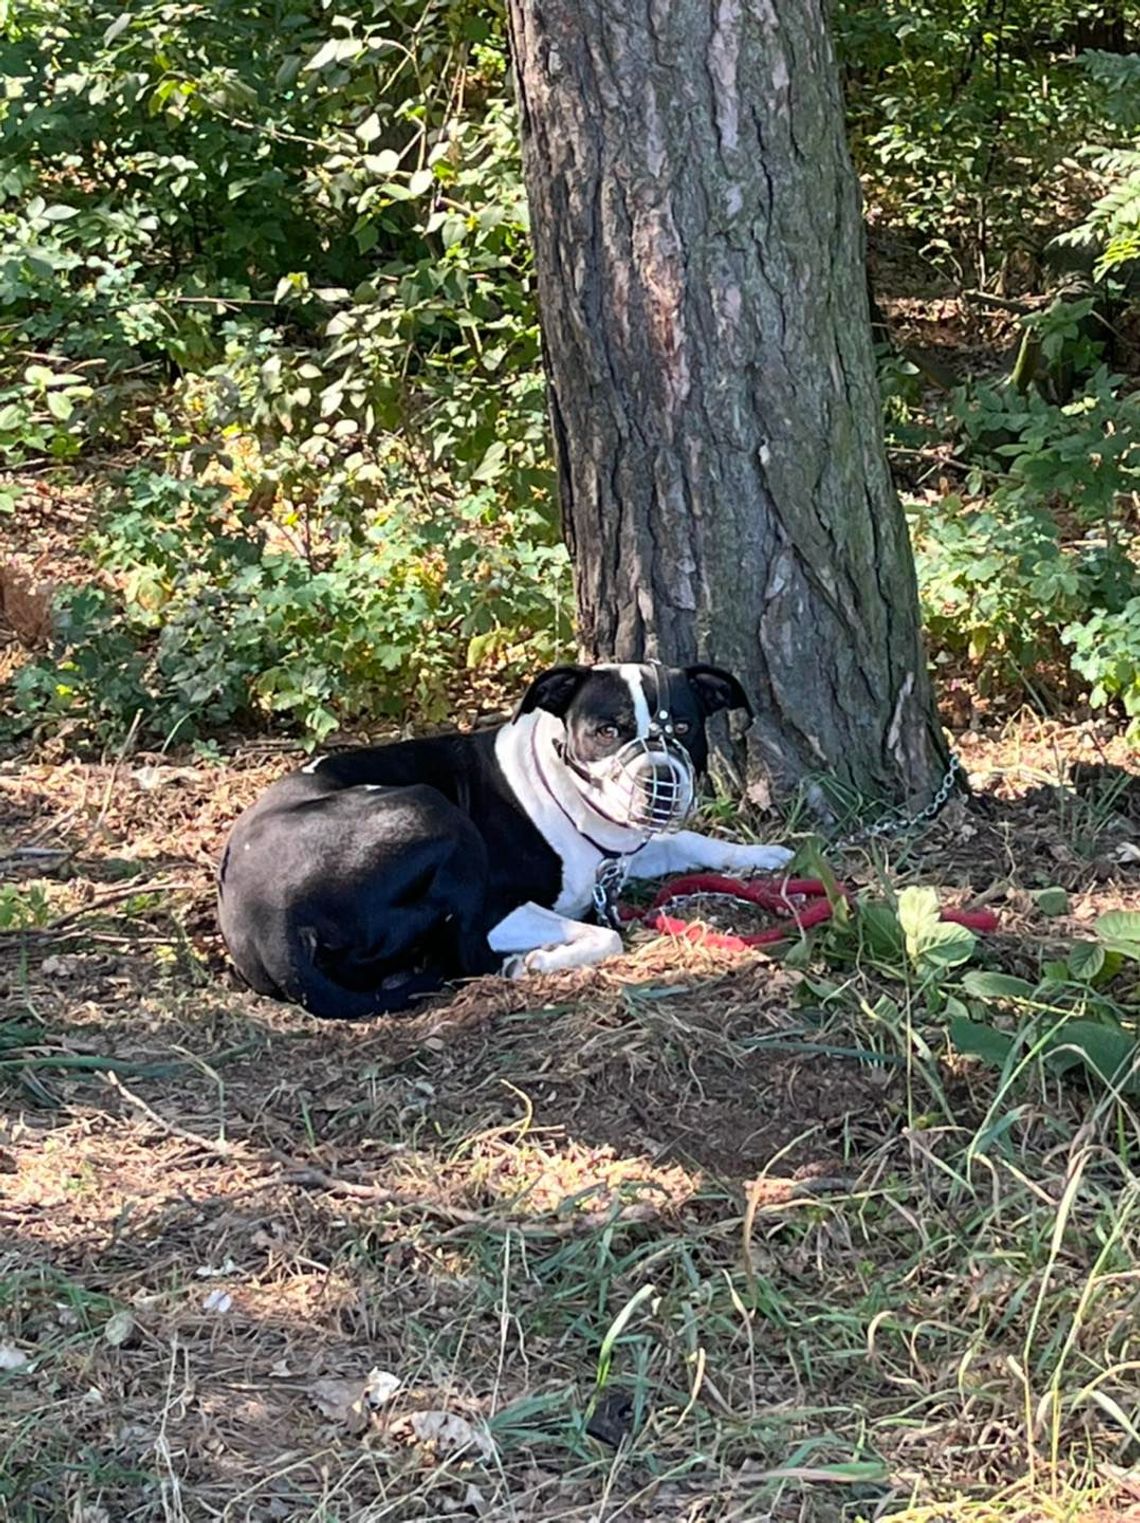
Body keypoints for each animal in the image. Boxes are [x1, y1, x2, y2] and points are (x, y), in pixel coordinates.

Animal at [217, 657, 797, 1023]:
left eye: (683, 727)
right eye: (606, 730)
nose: (660, 778)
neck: (568, 794)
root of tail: (272, 923)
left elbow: (691, 841)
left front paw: (758, 855)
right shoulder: (504, 904)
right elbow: (605, 934)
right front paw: (542, 958)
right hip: (435, 812)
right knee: (466, 955)